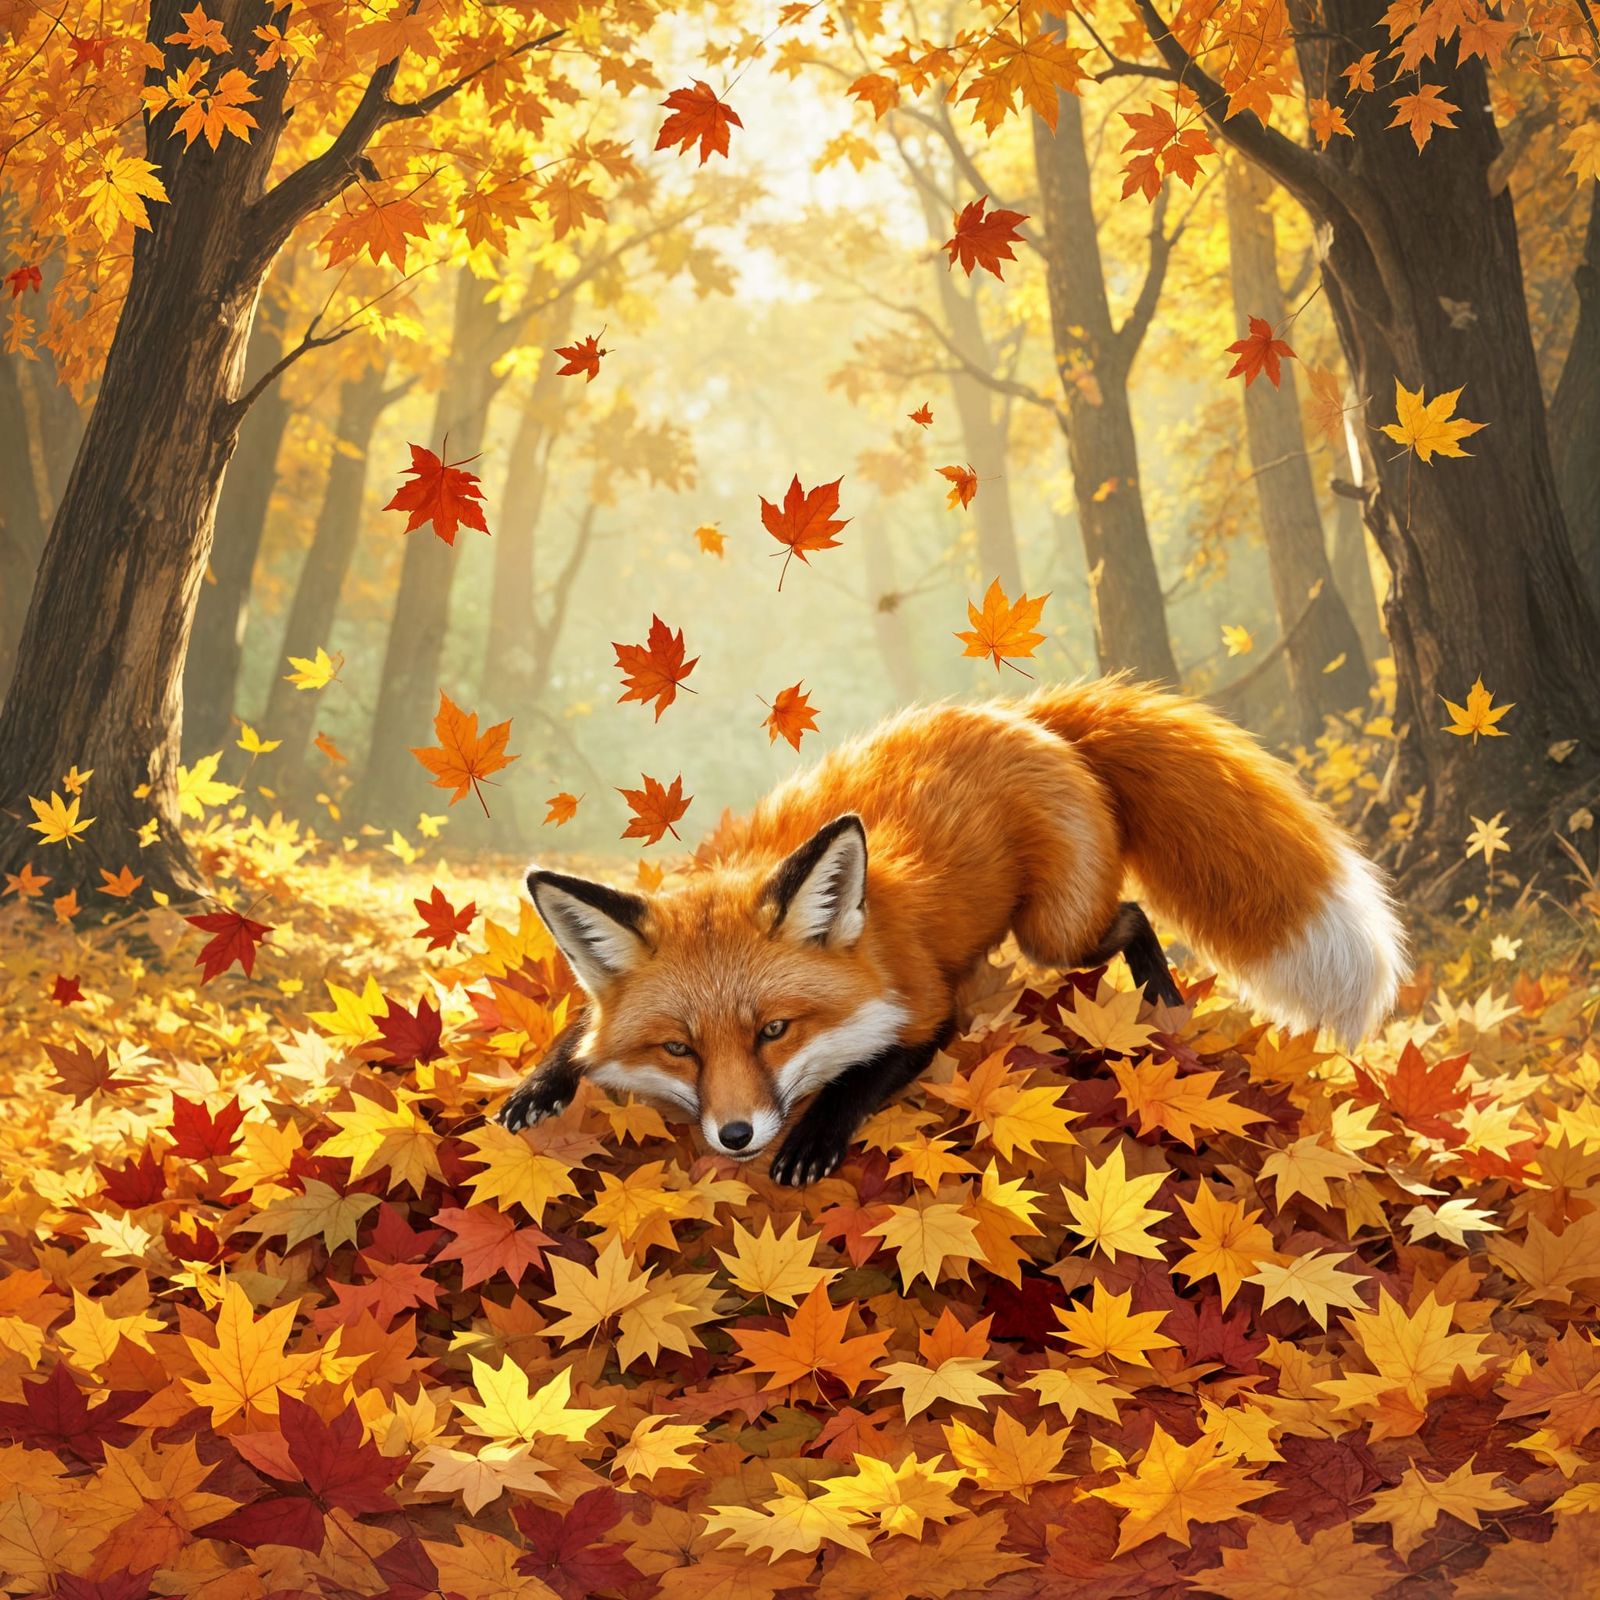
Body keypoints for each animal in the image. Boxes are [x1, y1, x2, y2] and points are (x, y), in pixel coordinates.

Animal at [496, 679, 1406, 1185]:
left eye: (775, 1031)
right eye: (679, 1049)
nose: (736, 1136)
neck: (870, 945)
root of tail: (1027, 715)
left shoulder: (928, 1007)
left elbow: (862, 1078)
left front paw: (812, 1141)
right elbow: (580, 1029)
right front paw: (540, 1086)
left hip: (1054, 930)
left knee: (1133, 919)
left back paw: (1162, 999)